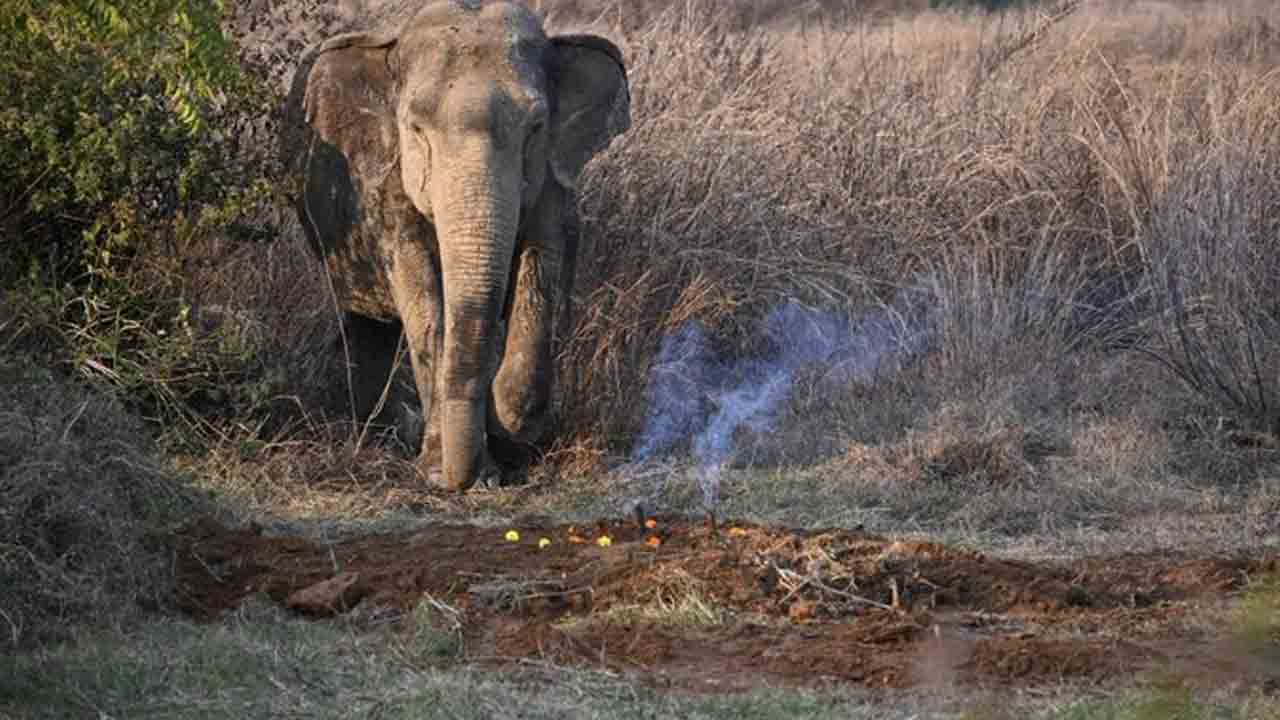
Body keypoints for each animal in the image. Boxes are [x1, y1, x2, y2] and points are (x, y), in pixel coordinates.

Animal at [284, 1, 629, 491]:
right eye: (415, 128)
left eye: (536, 128)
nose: (463, 480)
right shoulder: (386, 190)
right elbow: (423, 294)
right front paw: (439, 470)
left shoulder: (552, 187)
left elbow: (543, 270)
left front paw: (505, 437)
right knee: (363, 325)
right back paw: (381, 434)